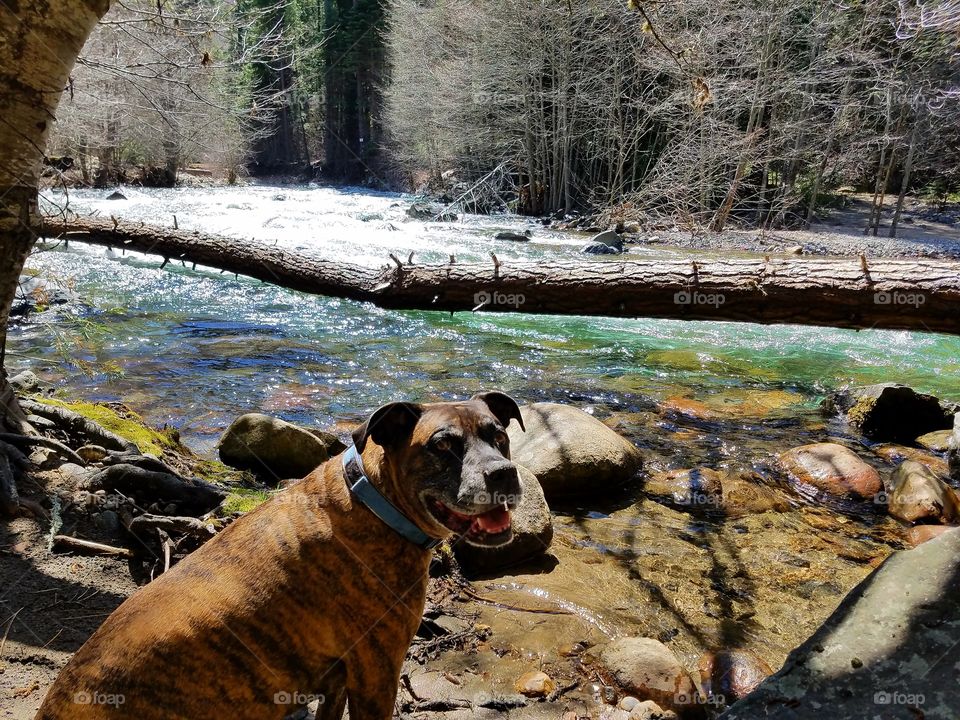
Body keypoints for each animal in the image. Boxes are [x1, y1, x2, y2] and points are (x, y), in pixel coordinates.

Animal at [35, 394, 524, 720]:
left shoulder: (339, 681)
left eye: (498, 435)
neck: (376, 503)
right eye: (441, 446)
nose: (503, 472)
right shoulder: (377, 675)